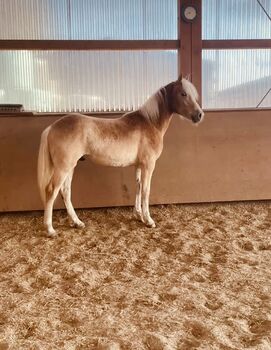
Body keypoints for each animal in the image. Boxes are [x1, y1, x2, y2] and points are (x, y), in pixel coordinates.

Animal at [37, 75, 204, 237]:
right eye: (183, 93)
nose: (199, 115)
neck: (150, 122)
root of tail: (52, 127)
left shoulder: (139, 165)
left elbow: (138, 186)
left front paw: (139, 215)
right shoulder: (148, 165)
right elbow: (146, 190)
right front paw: (149, 220)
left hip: (71, 167)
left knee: (65, 192)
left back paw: (77, 222)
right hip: (63, 167)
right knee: (51, 191)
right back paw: (50, 229)